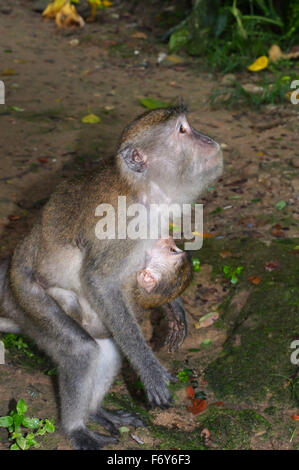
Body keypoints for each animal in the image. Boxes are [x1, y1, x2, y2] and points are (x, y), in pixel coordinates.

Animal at [0, 104, 223, 450]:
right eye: (183, 130)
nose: (209, 139)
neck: (145, 192)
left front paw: (174, 308)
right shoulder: (126, 223)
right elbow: (99, 281)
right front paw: (149, 369)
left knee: (107, 349)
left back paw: (97, 413)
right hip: (26, 295)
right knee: (80, 350)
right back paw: (76, 427)